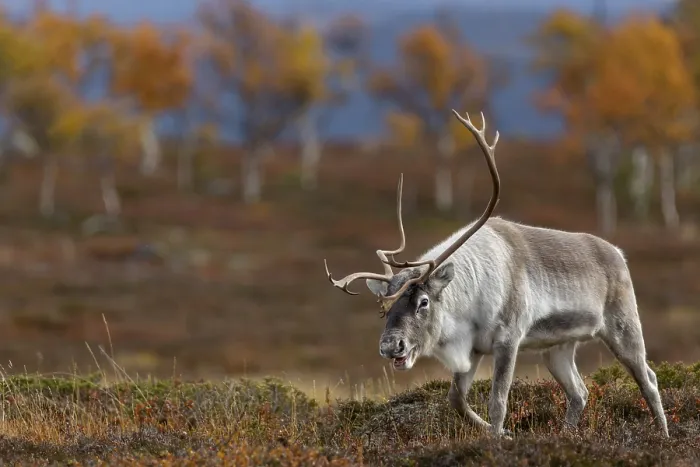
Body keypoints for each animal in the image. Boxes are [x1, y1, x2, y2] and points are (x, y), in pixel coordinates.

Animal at [323, 110, 669, 438]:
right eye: (384, 309)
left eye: (423, 301)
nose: (390, 346)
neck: (468, 299)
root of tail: (619, 254)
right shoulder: (473, 348)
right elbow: (456, 399)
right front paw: (502, 434)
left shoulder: (508, 338)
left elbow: (498, 402)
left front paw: (498, 436)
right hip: (557, 348)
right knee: (579, 392)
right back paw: (566, 435)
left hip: (622, 325)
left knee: (649, 379)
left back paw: (663, 435)